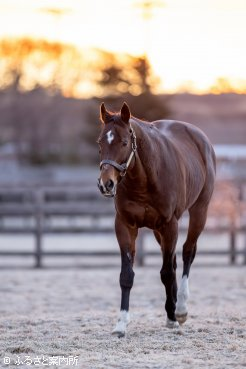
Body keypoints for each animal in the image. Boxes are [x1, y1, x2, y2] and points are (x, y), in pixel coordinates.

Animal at [97, 100, 216, 336]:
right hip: (157, 231)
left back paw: (180, 309)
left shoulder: (170, 225)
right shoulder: (125, 225)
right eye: (100, 143)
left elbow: (167, 272)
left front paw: (173, 317)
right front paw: (121, 323)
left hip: (199, 211)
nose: (106, 184)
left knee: (187, 253)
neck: (145, 178)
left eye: (124, 142)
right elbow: (127, 275)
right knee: (174, 260)